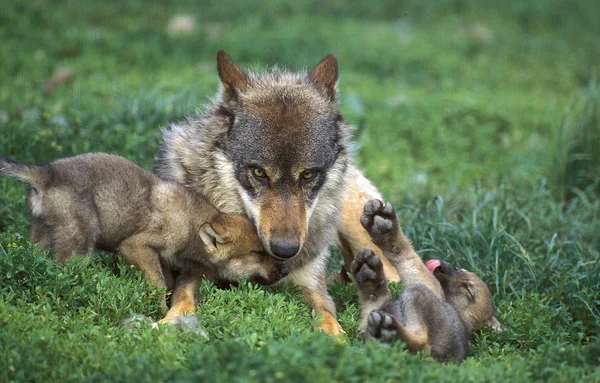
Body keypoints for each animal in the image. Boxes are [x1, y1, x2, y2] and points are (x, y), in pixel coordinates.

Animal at [154, 51, 398, 336]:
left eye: (308, 175)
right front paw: (169, 323)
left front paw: (337, 337)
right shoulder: (193, 271)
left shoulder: (312, 284)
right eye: (259, 173)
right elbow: (183, 298)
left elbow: (328, 314)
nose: (285, 250)